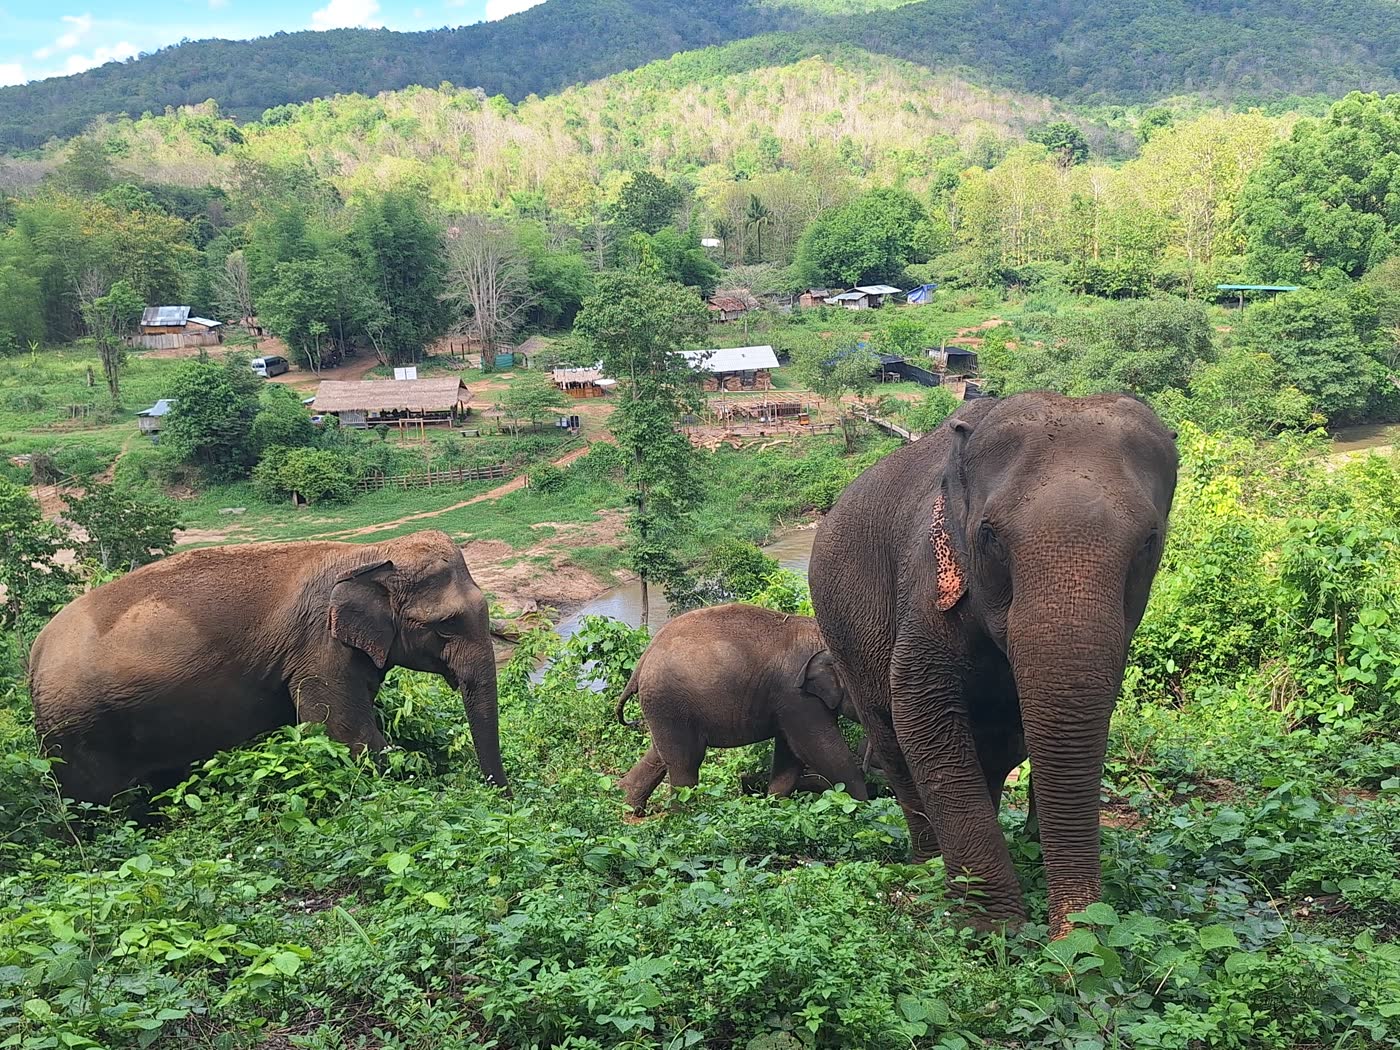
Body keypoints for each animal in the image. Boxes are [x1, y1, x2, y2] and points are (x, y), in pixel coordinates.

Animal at [28, 529, 509, 805]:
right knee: (104, 803)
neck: (368, 554)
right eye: (445, 626)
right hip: (76, 727)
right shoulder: (317, 646)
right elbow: (344, 733)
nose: (502, 797)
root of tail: (33, 656)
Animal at [614, 604, 870, 812]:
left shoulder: (789, 703)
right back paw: (685, 819)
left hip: (664, 706)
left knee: (660, 754)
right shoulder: (797, 697)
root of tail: (642, 660)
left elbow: (790, 754)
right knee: (686, 762)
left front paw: (772, 806)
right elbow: (820, 750)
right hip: (670, 701)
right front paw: (864, 809)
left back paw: (628, 804)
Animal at [809, 392, 1176, 937]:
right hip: (842, 633)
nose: (1076, 930)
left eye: (1150, 540)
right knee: (890, 738)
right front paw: (993, 929)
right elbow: (922, 713)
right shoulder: (926, 583)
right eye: (990, 537)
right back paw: (927, 865)